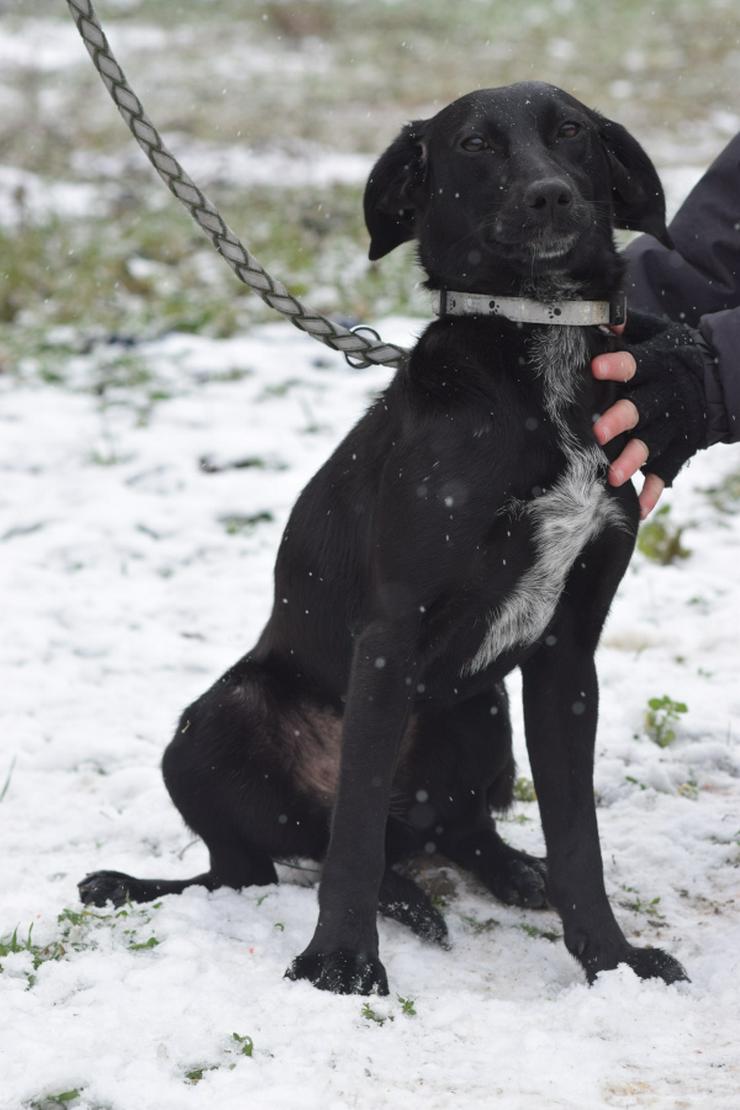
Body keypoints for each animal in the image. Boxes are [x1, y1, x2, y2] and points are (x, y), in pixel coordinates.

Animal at [79, 82, 687, 994]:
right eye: (474, 144)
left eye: (572, 132)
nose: (551, 196)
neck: (535, 339)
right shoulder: (390, 634)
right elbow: (354, 835)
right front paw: (338, 961)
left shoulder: (567, 652)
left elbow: (578, 835)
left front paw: (611, 960)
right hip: (213, 724)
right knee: (278, 857)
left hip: (479, 710)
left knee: (447, 833)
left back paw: (511, 873)